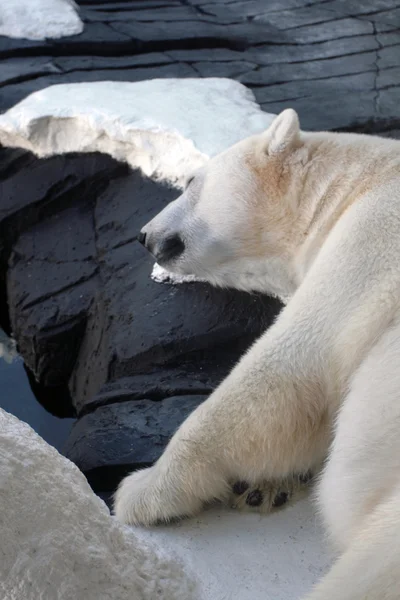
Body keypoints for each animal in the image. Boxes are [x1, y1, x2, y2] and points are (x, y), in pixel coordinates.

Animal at [114, 110, 400, 596]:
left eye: (191, 180)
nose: (145, 235)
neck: (354, 182)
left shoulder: (372, 239)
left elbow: (287, 369)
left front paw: (143, 490)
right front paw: (266, 485)